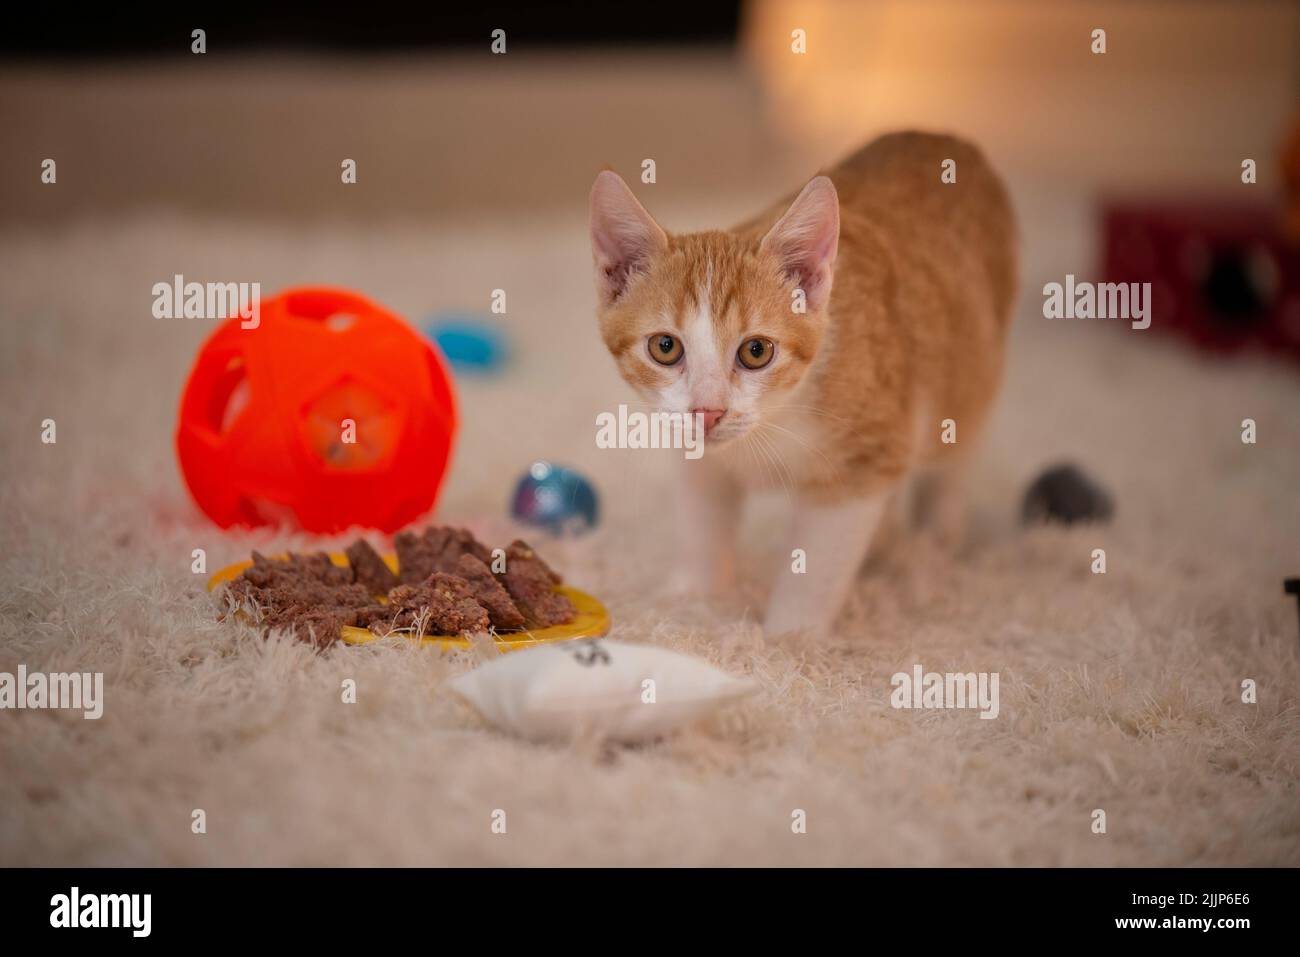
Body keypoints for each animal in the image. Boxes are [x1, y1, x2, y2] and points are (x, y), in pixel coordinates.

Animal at [587, 128, 1013, 634]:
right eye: (665, 347)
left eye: (756, 351)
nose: (708, 411)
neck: (773, 421)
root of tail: (941, 136)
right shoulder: (694, 449)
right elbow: (703, 516)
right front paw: (694, 600)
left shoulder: (864, 457)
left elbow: (820, 558)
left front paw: (790, 637)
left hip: (968, 367)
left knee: (956, 447)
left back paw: (936, 537)